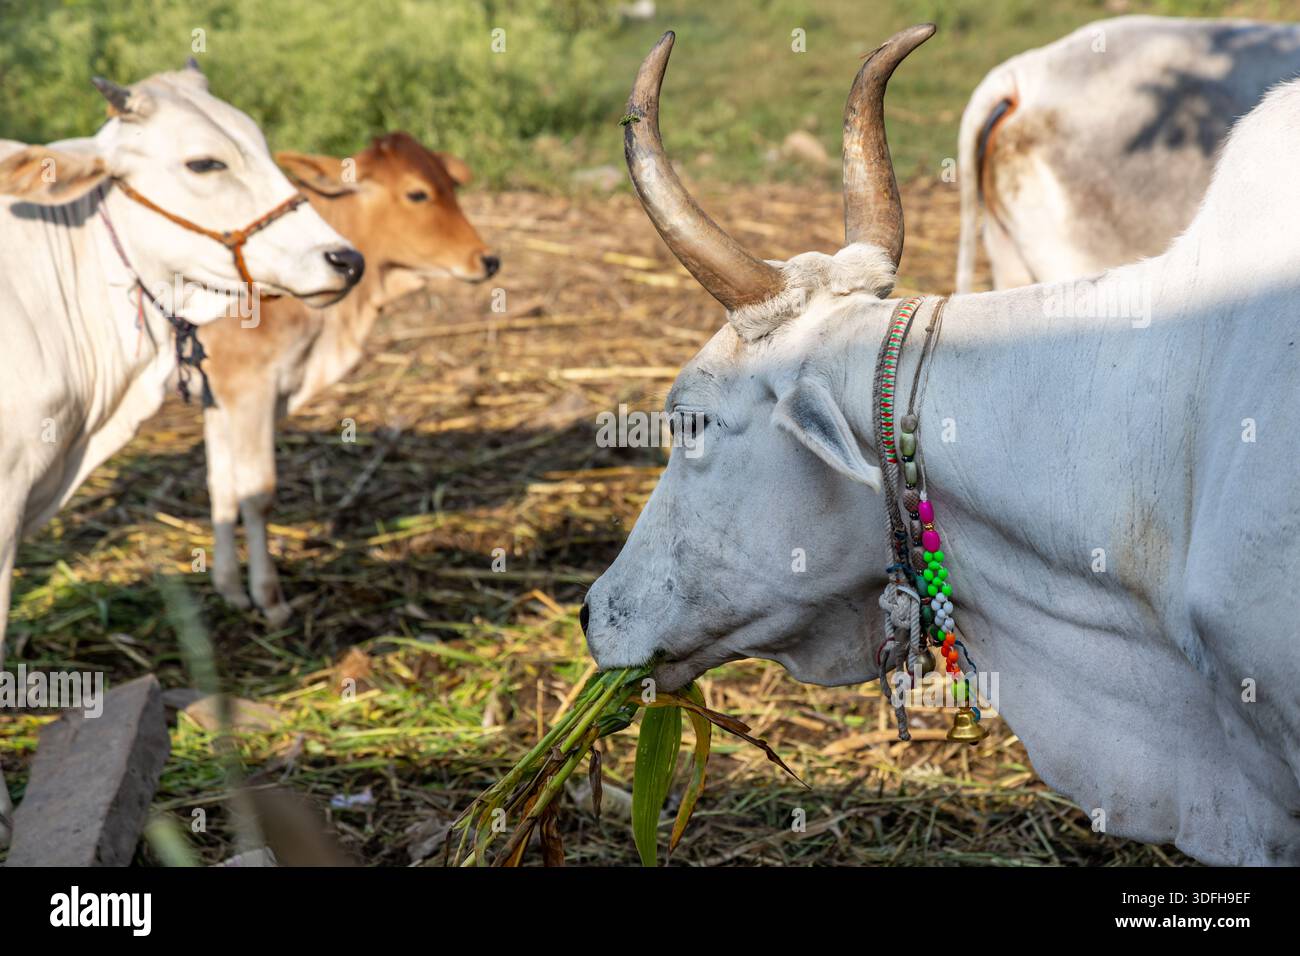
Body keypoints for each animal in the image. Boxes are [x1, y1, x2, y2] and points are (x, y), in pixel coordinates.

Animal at [196, 132, 498, 623]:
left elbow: (222, 488)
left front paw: (230, 588)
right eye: (417, 193)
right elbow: (257, 494)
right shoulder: (248, 390)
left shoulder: (220, 393)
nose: (488, 260)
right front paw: (269, 598)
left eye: (453, 187)